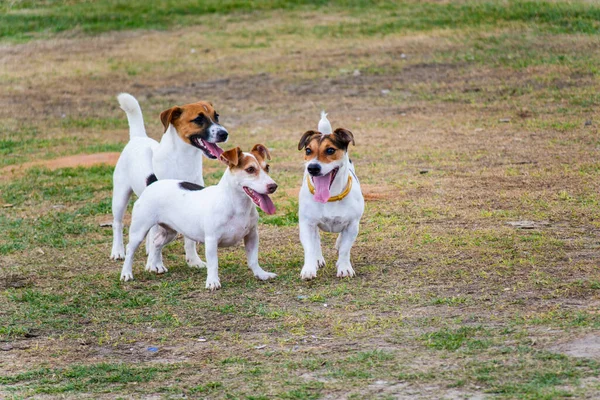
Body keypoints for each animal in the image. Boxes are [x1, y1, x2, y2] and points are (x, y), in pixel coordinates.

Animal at [110, 93, 227, 276]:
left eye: (216, 116)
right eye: (198, 119)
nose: (224, 134)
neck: (183, 161)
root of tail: (138, 137)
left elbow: (188, 240)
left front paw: (193, 260)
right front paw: (154, 264)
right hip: (121, 197)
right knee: (118, 223)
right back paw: (118, 251)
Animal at [122, 145, 282, 290]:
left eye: (267, 167)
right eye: (250, 169)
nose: (273, 186)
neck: (237, 205)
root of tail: (153, 183)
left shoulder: (252, 236)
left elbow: (253, 259)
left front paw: (261, 274)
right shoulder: (211, 240)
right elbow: (213, 263)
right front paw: (212, 282)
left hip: (170, 232)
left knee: (156, 243)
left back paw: (157, 266)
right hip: (139, 230)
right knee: (130, 249)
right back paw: (126, 274)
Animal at [296, 111, 364, 280]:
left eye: (330, 150)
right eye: (308, 151)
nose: (313, 167)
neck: (330, 198)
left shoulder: (352, 225)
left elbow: (345, 249)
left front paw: (344, 268)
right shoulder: (307, 224)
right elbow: (310, 247)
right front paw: (309, 268)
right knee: (316, 240)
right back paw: (318, 259)